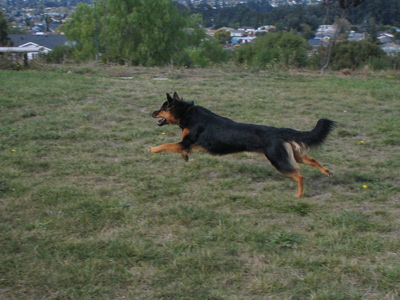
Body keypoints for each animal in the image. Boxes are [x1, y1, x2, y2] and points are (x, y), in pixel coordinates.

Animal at [149, 92, 334, 198]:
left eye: (162, 108)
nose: (151, 113)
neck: (186, 112)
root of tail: (279, 131)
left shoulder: (185, 142)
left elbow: (166, 144)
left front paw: (153, 149)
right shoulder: (185, 144)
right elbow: (179, 149)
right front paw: (185, 157)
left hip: (278, 161)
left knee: (299, 176)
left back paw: (299, 195)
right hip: (290, 155)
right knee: (311, 160)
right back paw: (327, 172)